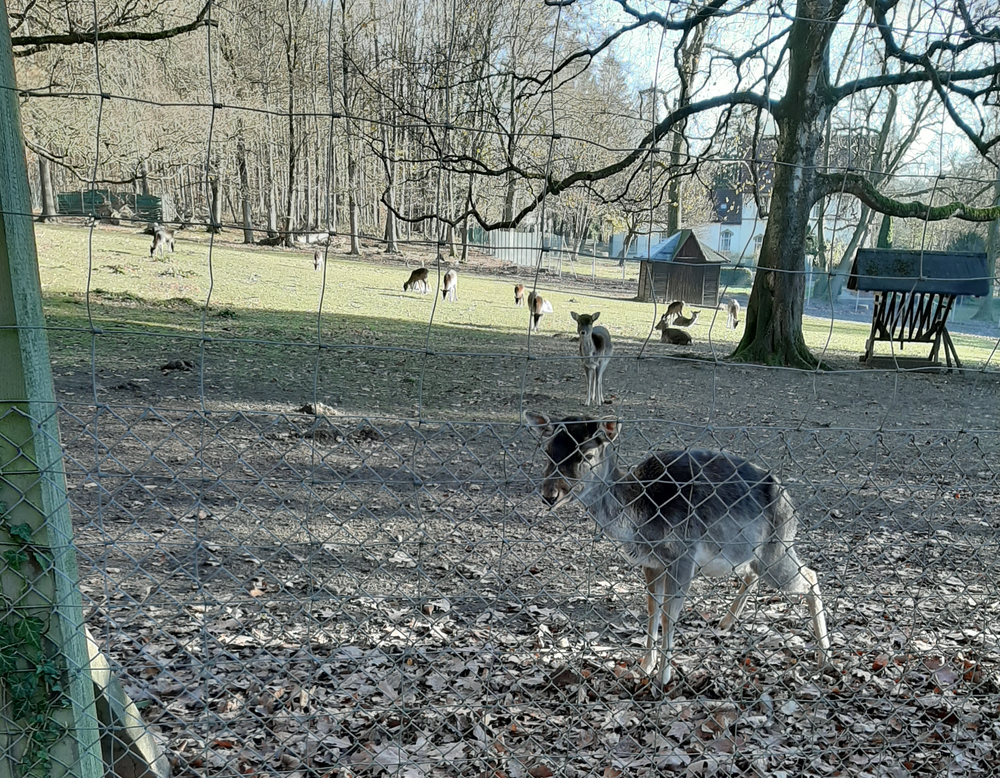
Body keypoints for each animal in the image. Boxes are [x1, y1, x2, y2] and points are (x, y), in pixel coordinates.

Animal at [524, 410, 828, 684]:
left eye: (587, 455)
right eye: (547, 451)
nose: (549, 495)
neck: (639, 517)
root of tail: (789, 501)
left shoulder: (682, 556)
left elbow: (669, 615)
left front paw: (663, 678)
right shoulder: (650, 563)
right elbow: (652, 610)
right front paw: (644, 667)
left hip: (777, 549)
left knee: (811, 575)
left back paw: (824, 656)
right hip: (752, 553)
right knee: (755, 573)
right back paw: (726, 623)